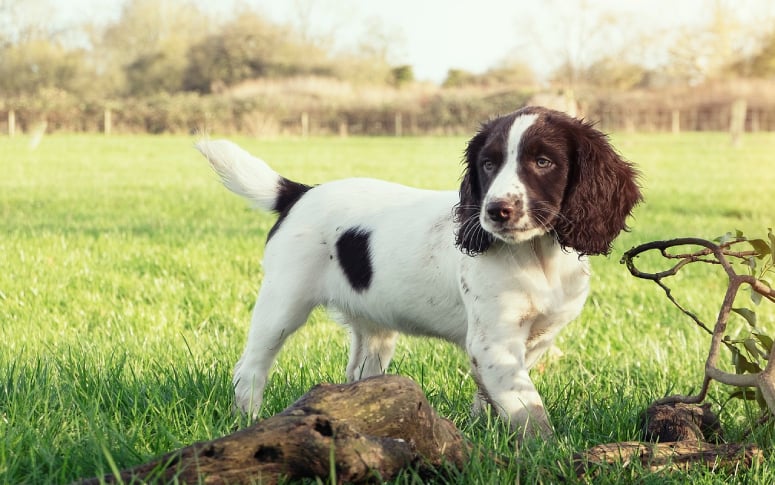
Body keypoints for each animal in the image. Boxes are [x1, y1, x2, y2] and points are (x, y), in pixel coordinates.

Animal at [200, 107, 644, 438]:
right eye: (487, 165)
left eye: (543, 161)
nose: (495, 211)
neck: (537, 254)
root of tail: (299, 192)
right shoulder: (494, 342)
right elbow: (529, 409)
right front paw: (545, 451)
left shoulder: (535, 338)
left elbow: (496, 396)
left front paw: (485, 433)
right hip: (283, 303)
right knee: (250, 368)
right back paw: (249, 422)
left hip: (373, 328)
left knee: (359, 375)